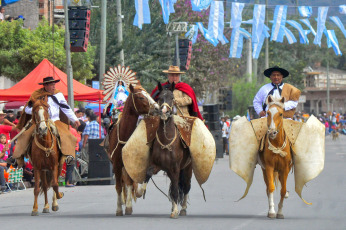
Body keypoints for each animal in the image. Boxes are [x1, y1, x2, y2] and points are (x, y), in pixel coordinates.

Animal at [107, 84, 159, 216]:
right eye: (141, 97)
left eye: (148, 94)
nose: (157, 108)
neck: (124, 134)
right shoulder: (116, 164)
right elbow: (118, 186)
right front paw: (119, 209)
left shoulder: (129, 163)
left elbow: (130, 184)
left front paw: (129, 207)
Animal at [144, 82, 192, 218]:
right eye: (160, 97)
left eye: (172, 97)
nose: (164, 112)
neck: (166, 140)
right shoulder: (157, 165)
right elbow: (148, 173)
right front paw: (139, 191)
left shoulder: (175, 168)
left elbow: (176, 189)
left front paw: (175, 211)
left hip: (187, 169)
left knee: (186, 186)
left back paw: (183, 209)